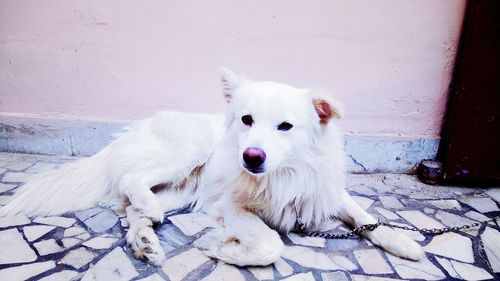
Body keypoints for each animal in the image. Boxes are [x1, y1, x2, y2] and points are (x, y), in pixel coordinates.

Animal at [0, 68, 424, 264]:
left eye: (285, 126)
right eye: (247, 120)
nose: (250, 157)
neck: (283, 175)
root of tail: (134, 129)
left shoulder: (324, 190)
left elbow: (364, 215)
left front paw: (403, 243)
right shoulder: (232, 207)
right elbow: (271, 246)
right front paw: (223, 251)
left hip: (182, 192)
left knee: (133, 211)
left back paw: (144, 240)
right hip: (187, 153)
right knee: (130, 181)